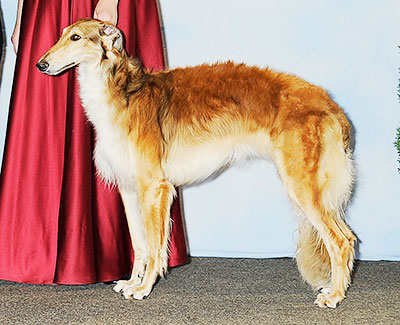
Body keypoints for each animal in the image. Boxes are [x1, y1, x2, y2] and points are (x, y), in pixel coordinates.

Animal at [37, 19, 356, 308]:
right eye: (62, 34)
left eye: (76, 37)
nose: (41, 64)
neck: (123, 94)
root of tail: (330, 104)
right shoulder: (128, 188)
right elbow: (139, 244)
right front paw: (131, 282)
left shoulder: (153, 186)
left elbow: (154, 245)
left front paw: (143, 289)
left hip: (302, 186)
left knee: (342, 241)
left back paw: (335, 296)